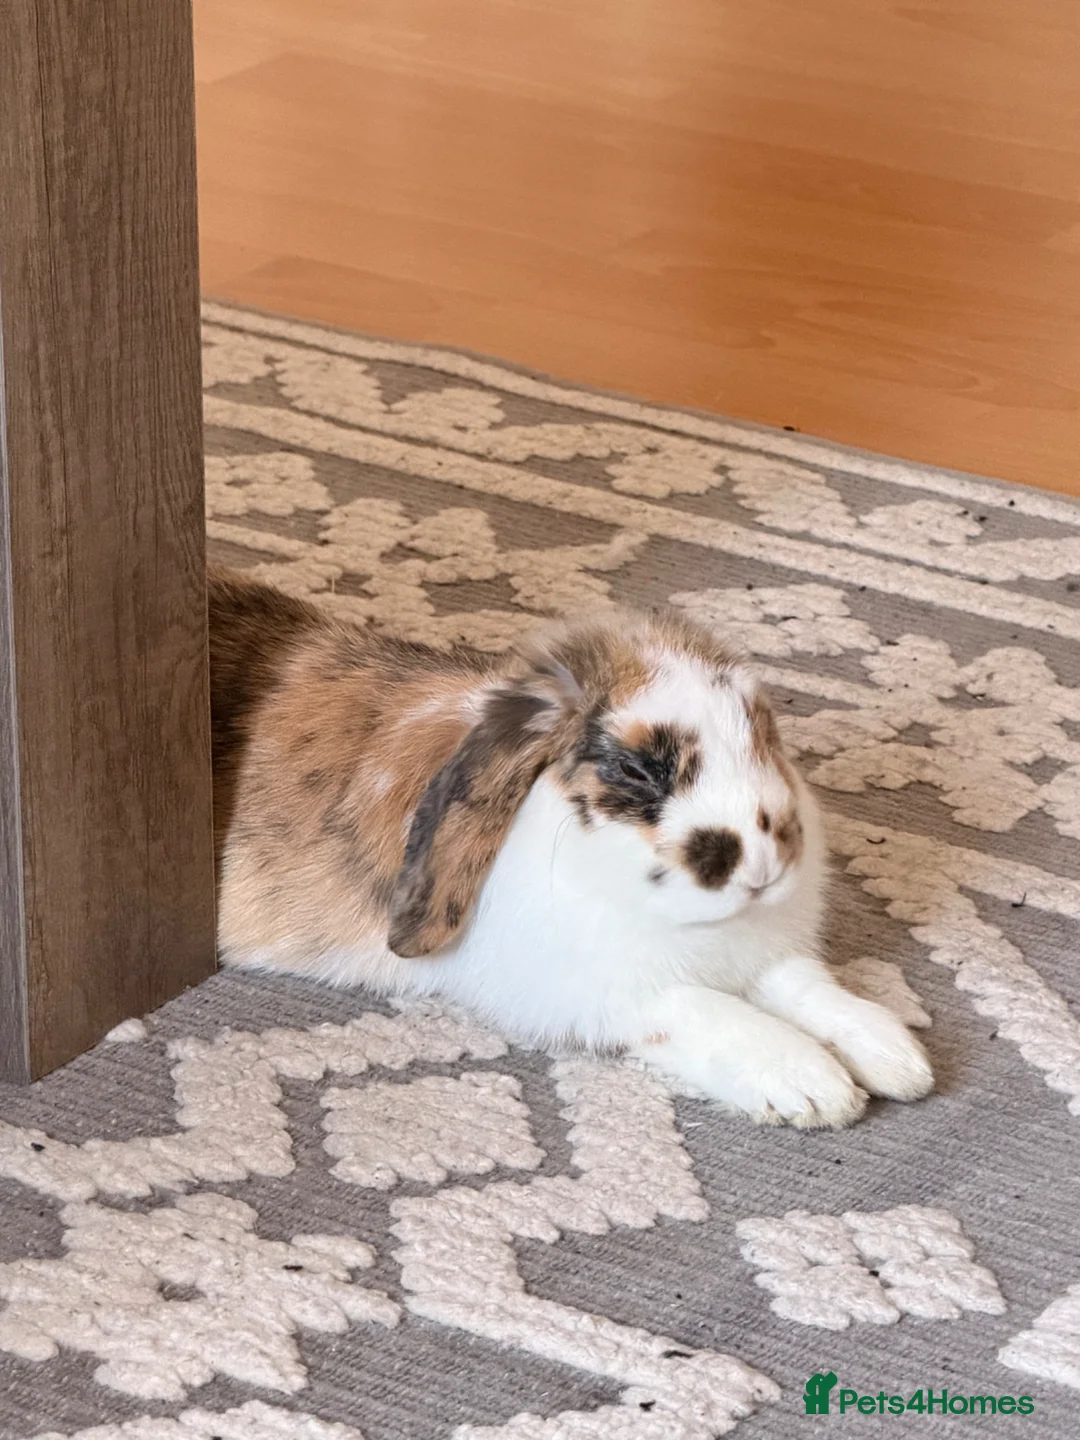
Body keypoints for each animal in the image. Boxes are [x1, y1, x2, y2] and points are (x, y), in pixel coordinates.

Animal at [210, 566, 933, 1128]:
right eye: (639, 770)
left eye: (763, 733)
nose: (761, 864)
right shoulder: (617, 993)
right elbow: (708, 1012)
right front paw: (813, 1086)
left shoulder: (764, 956)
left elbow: (803, 984)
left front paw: (895, 1055)